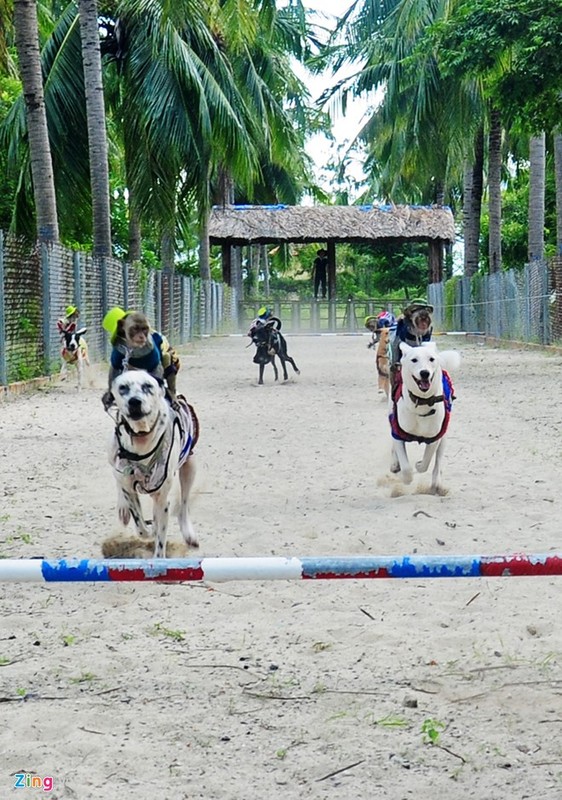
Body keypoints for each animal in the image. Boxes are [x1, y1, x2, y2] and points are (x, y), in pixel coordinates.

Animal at [106, 368, 198, 556]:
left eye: (147, 386)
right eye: (123, 387)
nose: (134, 401)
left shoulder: (162, 499)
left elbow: (160, 538)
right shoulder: (129, 487)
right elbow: (141, 527)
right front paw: (148, 528)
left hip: (190, 467)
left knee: (184, 505)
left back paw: (188, 532)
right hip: (112, 456)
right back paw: (123, 509)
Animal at [388, 342, 458, 494]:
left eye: (431, 359)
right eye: (414, 360)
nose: (424, 373)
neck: (421, 402)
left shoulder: (435, 437)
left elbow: (426, 462)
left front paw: (419, 464)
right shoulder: (397, 431)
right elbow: (405, 466)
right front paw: (405, 477)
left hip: (444, 438)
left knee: (438, 463)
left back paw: (437, 485)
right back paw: (395, 465)